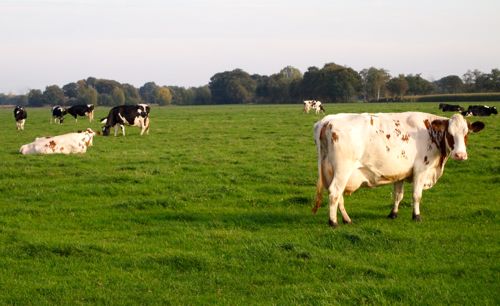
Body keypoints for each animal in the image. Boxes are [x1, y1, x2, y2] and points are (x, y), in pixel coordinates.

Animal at [312, 112, 484, 227]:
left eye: (466, 134)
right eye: (449, 133)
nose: (460, 155)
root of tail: (327, 120)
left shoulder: (400, 173)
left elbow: (397, 195)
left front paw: (393, 214)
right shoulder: (421, 170)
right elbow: (416, 196)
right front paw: (416, 216)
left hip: (331, 171)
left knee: (338, 195)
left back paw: (346, 219)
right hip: (343, 170)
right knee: (335, 193)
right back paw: (333, 222)